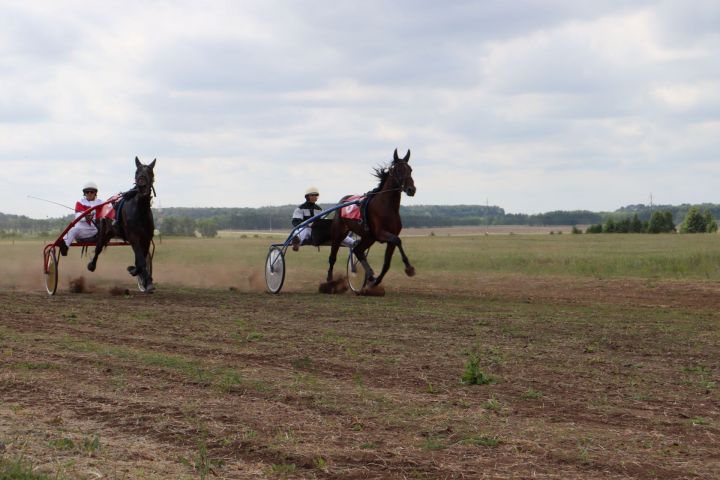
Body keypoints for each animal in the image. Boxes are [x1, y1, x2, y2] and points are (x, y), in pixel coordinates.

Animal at [88, 158, 157, 292]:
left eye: (150, 172)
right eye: (137, 172)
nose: (142, 187)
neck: (140, 211)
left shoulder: (146, 238)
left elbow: (141, 259)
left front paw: (146, 281)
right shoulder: (134, 237)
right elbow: (140, 261)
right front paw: (138, 273)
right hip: (104, 231)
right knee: (98, 248)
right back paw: (91, 265)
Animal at [324, 149, 420, 292]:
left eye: (410, 169)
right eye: (398, 170)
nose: (411, 190)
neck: (386, 207)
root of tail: (343, 199)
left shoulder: (387, 237)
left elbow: (387, 263)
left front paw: (375, 281)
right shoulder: (380, 233)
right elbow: (398, 240)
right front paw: (409, 268)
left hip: (368, 237)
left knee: (358, 251)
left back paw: (369, 275)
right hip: (338, 233)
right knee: (333, 256)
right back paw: (330, 279)